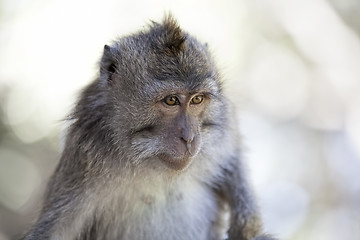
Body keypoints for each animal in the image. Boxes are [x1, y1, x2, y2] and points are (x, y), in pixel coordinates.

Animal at [22, 15, 276, 240]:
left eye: (197, 100)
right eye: (171, 100)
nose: (189, 138)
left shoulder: (224, 123)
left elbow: (233, 158)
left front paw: (247, 227)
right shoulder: (87, 153)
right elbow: (53, 232)